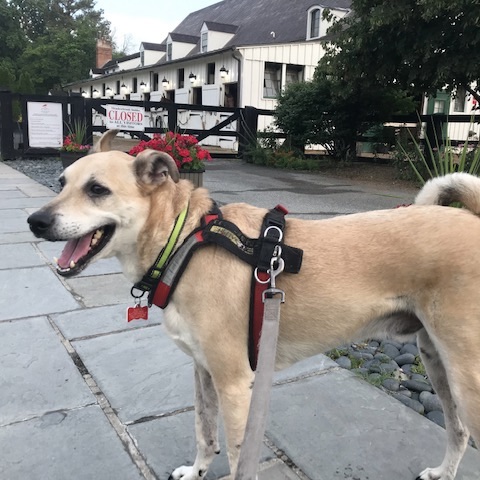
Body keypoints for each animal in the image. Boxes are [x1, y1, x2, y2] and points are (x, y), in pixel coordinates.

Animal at [28, 129, 478, 478]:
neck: (183, 241)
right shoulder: (203, 370)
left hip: (466, 376)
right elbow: (203, 431)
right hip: (435, 360)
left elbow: (237, 453)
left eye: (97, 190)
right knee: (458, 431)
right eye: (61, 181)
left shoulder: (234, 383)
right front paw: (196, 471)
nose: (35, 221)